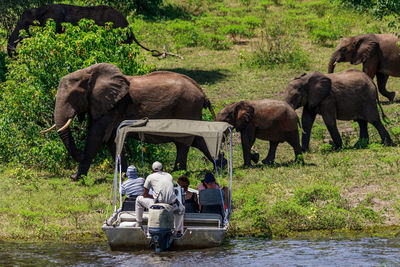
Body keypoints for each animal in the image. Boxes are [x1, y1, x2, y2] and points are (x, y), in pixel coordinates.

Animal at [42, 63, 220, 180]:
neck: (89, 73)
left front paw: (76, 178)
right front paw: (125, 175)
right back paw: (220, 166)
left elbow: (97, 137)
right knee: (198, 139)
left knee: (183, 142)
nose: (78, 154)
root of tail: (202, 92)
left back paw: (178, 173)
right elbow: (112, 139)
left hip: (187, 107)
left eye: (73, 96)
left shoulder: (112, 106)